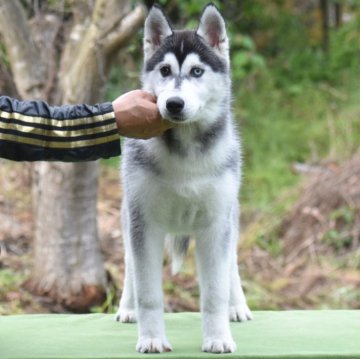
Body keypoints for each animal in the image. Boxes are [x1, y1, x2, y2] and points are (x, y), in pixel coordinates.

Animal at [116, 4, 252, 356]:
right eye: (165, 70)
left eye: (197, 72)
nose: (173, 104)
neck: (185, 153)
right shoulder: (144, 223)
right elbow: (148, 291)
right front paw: (151, 338)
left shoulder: (216, 225)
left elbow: (215, 291)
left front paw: (218, 337)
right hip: (128, 217)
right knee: (129, 264)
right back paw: (127, 307)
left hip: (231, 217)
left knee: (232, 263)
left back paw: (237, 306)